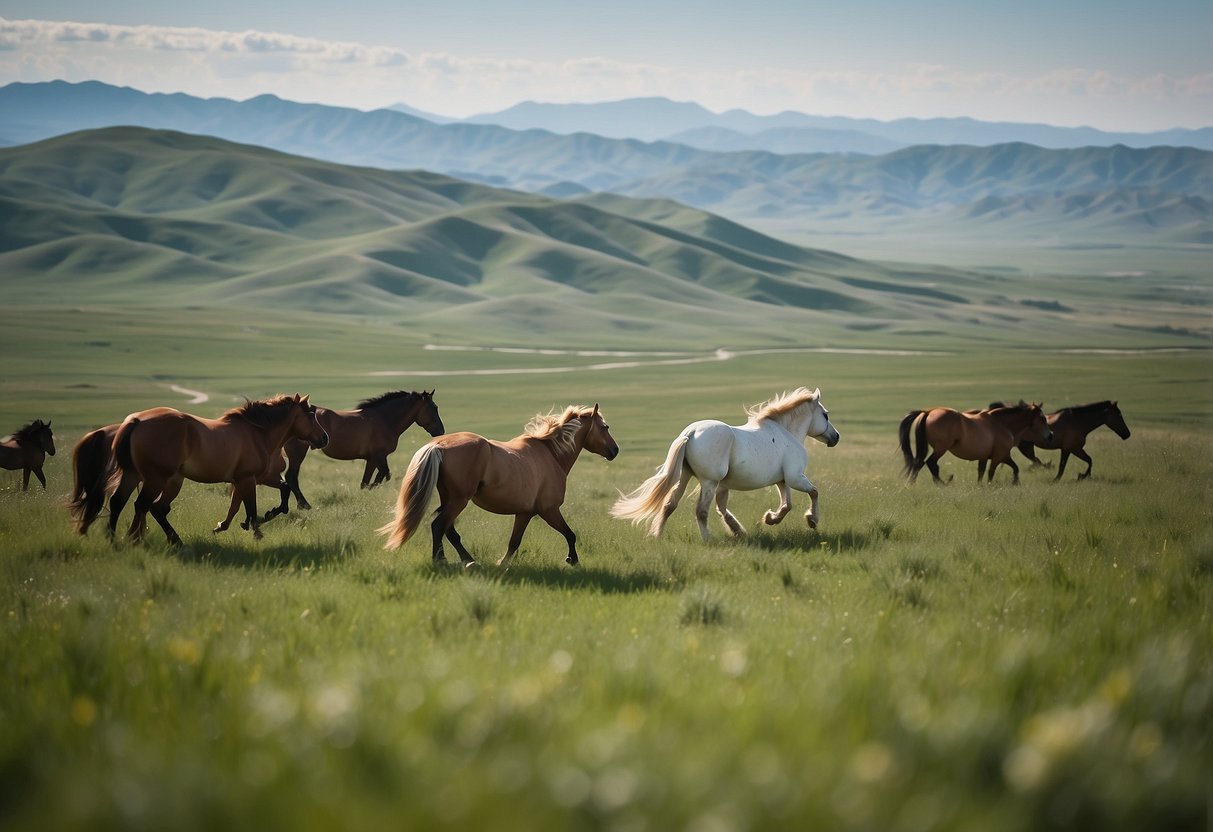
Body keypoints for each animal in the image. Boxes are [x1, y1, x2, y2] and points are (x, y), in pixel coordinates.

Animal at [105, 397, 327, 548]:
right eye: (310, 416)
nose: (325, 438)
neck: (257, 434)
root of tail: (137, 420)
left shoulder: (246, 479)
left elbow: (240, 505)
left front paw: (226, 526)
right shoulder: (248, 478)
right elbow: (251, 507)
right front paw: (257, 532)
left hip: (144, 476)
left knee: (128, 503)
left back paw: (117, 539)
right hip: (157, 478)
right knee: (143, 505)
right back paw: (142, 539)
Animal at [268, 392, 448, 521]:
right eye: (433, 408)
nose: (441, 431)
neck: (384, 420)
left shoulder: (371, 459)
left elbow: (366, 482)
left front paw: (365, 496)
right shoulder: (379, 456)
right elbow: (384, 475)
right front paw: (372, 492)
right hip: (297, 453)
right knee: (292, 476)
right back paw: (304, 505)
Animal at [378, 407, 621, 570]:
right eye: (605, 427)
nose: (615, 450)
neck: (551, 454)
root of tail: (437, 445)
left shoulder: (524, 513)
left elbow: (514, 542)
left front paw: (501, 563)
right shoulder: (549, 510)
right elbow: (570, 534)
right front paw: (573, 560)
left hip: (449, 498)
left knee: (449, 530)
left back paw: (468, 560)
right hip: (459, 500)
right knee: (439, 526)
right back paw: (444, 560)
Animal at [611, 390, 839, 540]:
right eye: (825, 414)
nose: (835, 437)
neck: (786, 432)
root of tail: (690, 433)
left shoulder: (782, 481)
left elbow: (786, 505)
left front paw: (769, 519)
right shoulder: (795, 477)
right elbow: (814, 492)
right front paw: (812, 520)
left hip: (685, 477)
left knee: (669, 505)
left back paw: (657, 535)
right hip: (709, 482)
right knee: (701, 511)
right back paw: (707, 539)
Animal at [897, 402, 1057, 485]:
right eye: (1042, 418)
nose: (1050, 435)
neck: (1002, 424)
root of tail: (929, 412)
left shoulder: (986, 457)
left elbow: (981, 472)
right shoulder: (1000, 456)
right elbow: (996, 471)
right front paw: (1007, 484)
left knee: (918, 463)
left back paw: (912, 484)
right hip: (941, 448)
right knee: (931, 464)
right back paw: (943, 483)